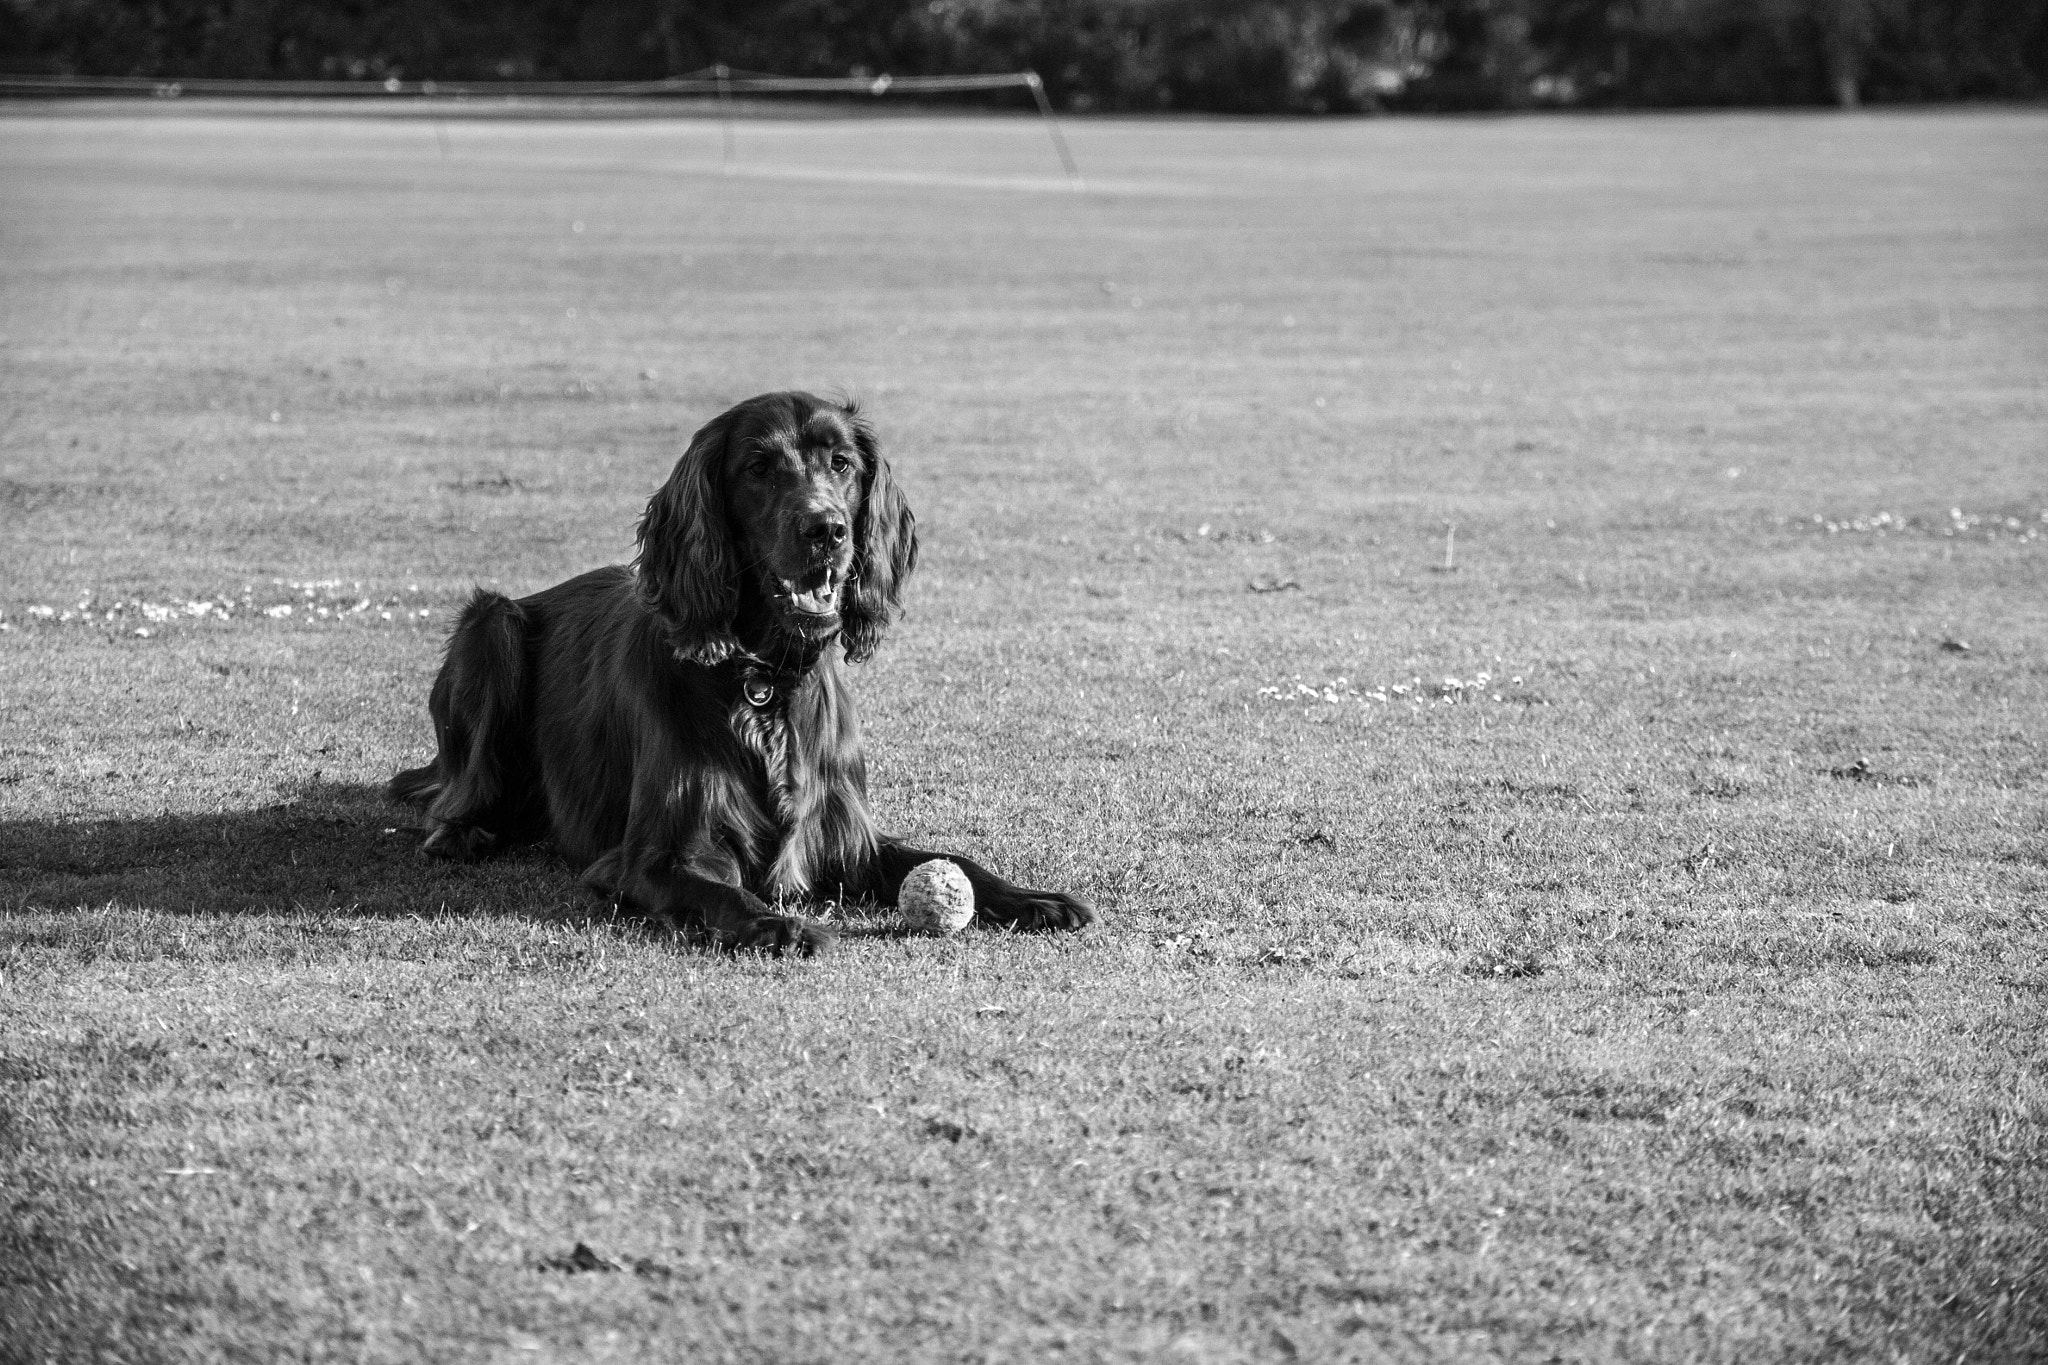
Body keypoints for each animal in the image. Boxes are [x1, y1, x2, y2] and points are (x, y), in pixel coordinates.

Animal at [385, 388, 1089, 957]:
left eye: (842, 464)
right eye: (758, 467)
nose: (826, 530)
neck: (763, 680)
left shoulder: (846, 837)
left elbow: (951, 856)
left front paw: (1034, 898)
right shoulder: (654, 856)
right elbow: (720, 892)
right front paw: (780, 926)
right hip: (492, 626)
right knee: (456, 789)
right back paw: (461, 832)